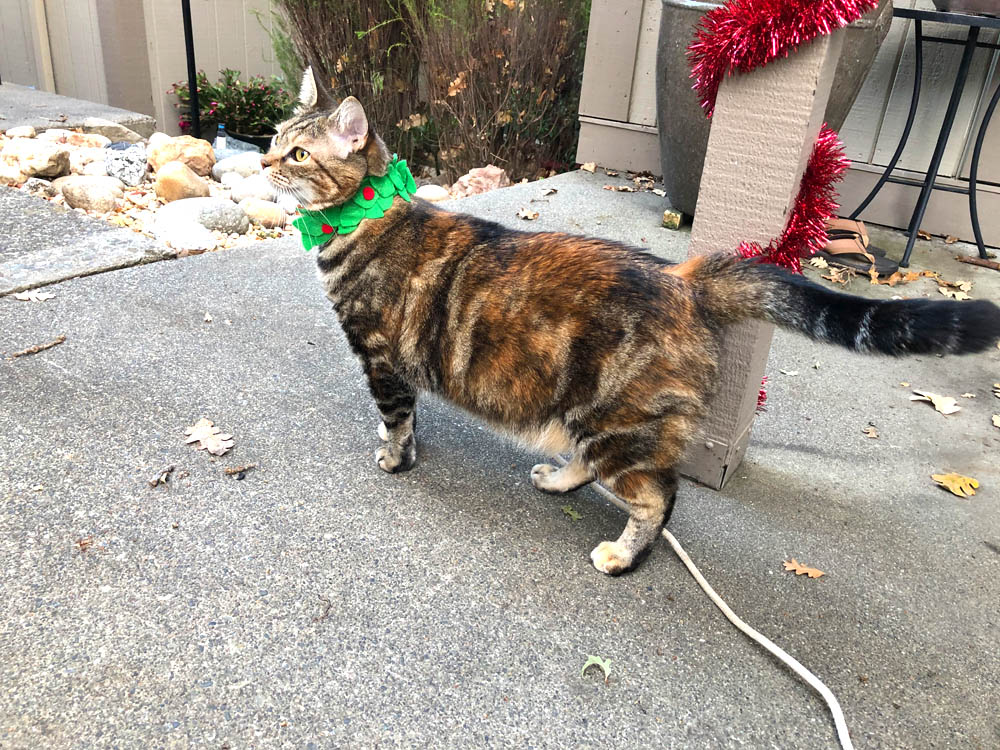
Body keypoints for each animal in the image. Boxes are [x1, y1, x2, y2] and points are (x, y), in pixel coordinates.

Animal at [262, 68, 1000, 576]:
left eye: (298, 154)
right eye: (274, 139)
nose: (263, 161)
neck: (362, 218)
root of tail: (685, 278)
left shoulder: (380, 356)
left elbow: (397, 418)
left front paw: (395, 459)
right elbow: (410, 415)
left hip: (617, 424)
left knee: (658, 497)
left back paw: (621, 555)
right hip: (590, 419)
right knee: (598, 469)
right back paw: (558, 477)